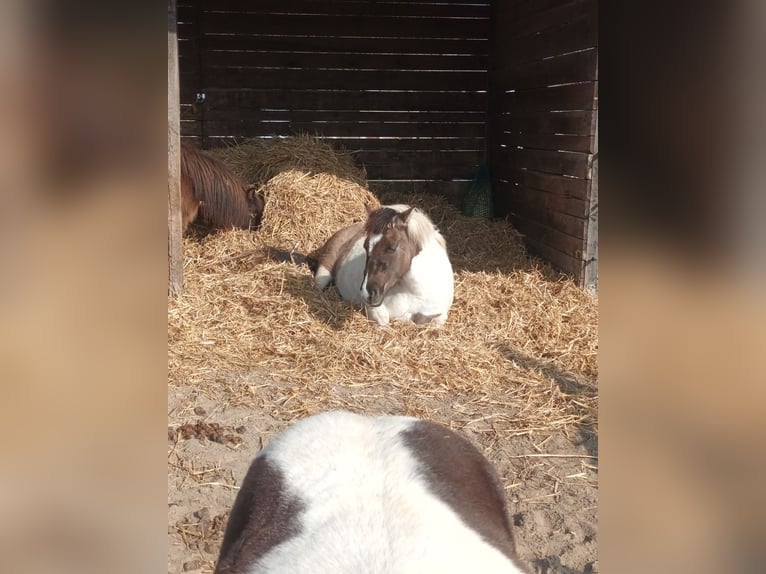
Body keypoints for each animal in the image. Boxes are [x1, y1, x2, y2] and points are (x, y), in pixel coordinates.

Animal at [312, 205, 456, 326]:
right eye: (365, 245)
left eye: (392, 247)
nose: (367, 293)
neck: (414, 292)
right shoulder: (374, 308)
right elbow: (384, 320)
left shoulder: (440, 315)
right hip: (325, 268)